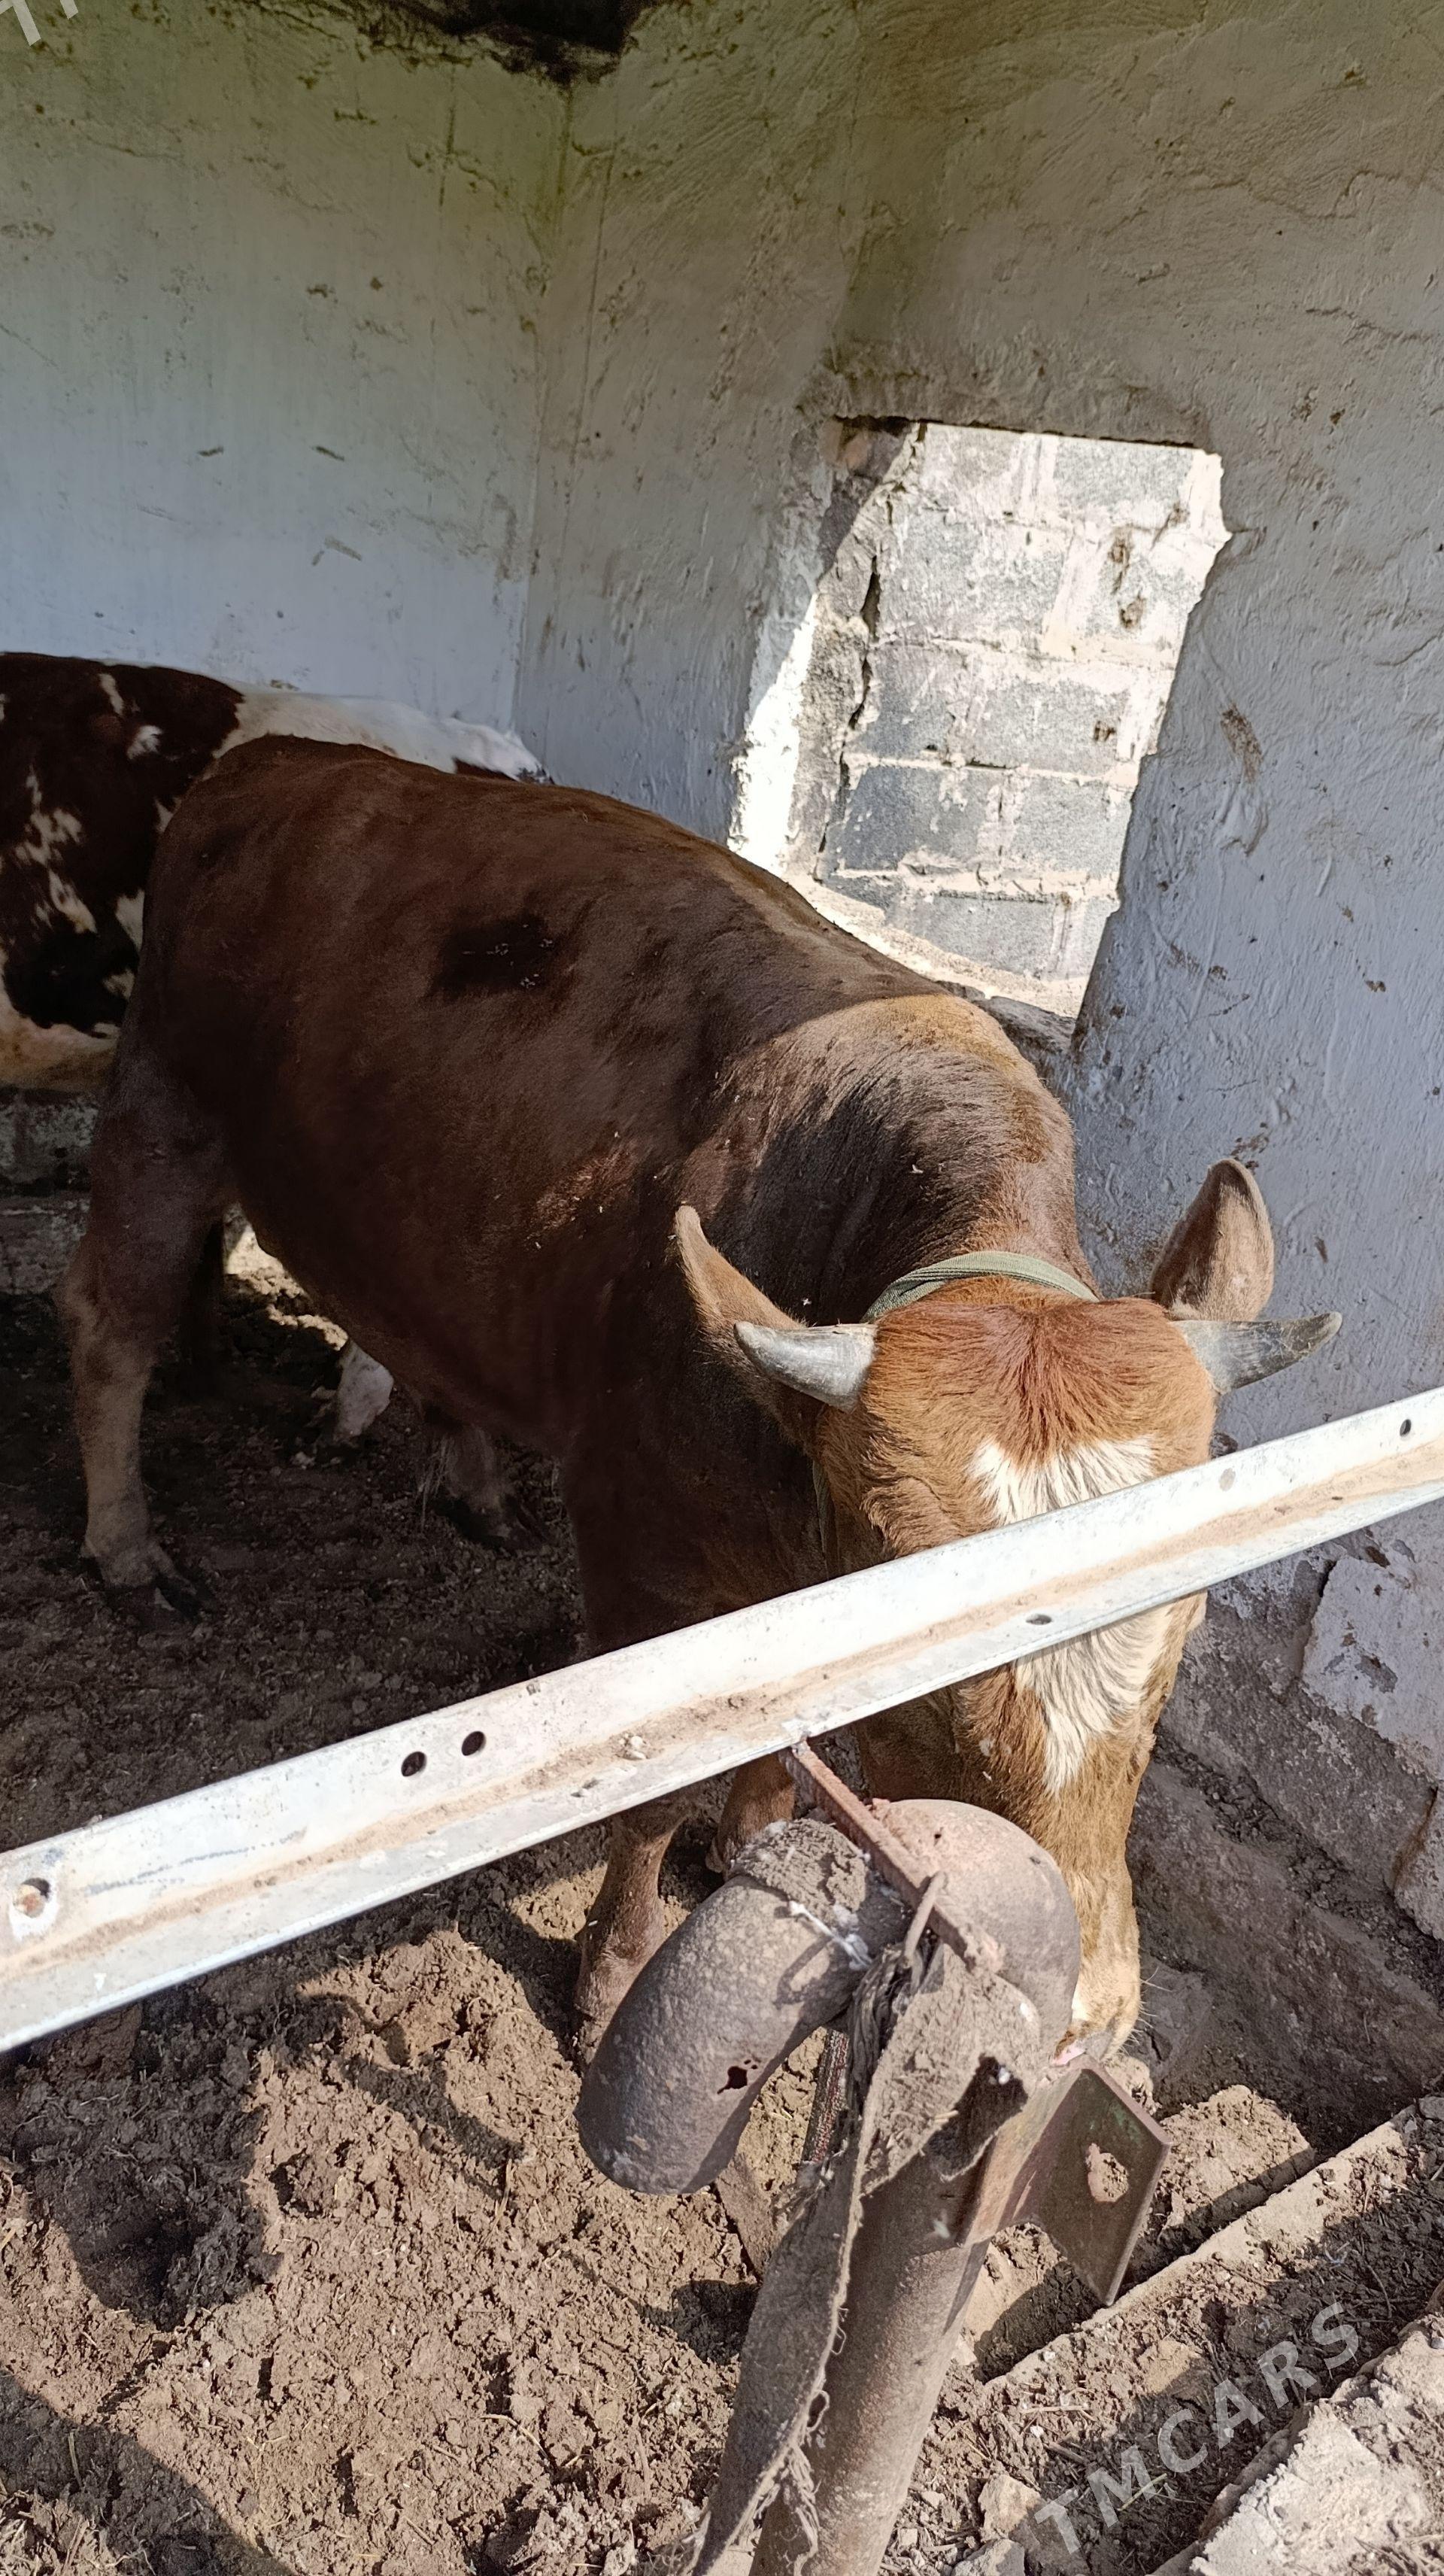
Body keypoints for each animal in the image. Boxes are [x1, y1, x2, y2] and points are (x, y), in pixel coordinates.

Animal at [56, 737, 1337, 2053]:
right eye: (931, 1661)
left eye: (1182, 1624)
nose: (1077, 2014)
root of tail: (278, 757)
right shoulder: (641, 1556)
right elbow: (645, 1803)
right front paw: (613, 1976)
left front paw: (755, 1837)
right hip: (159, 1112)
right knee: (109, 1327)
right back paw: (127, 1549)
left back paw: (466, 1483)